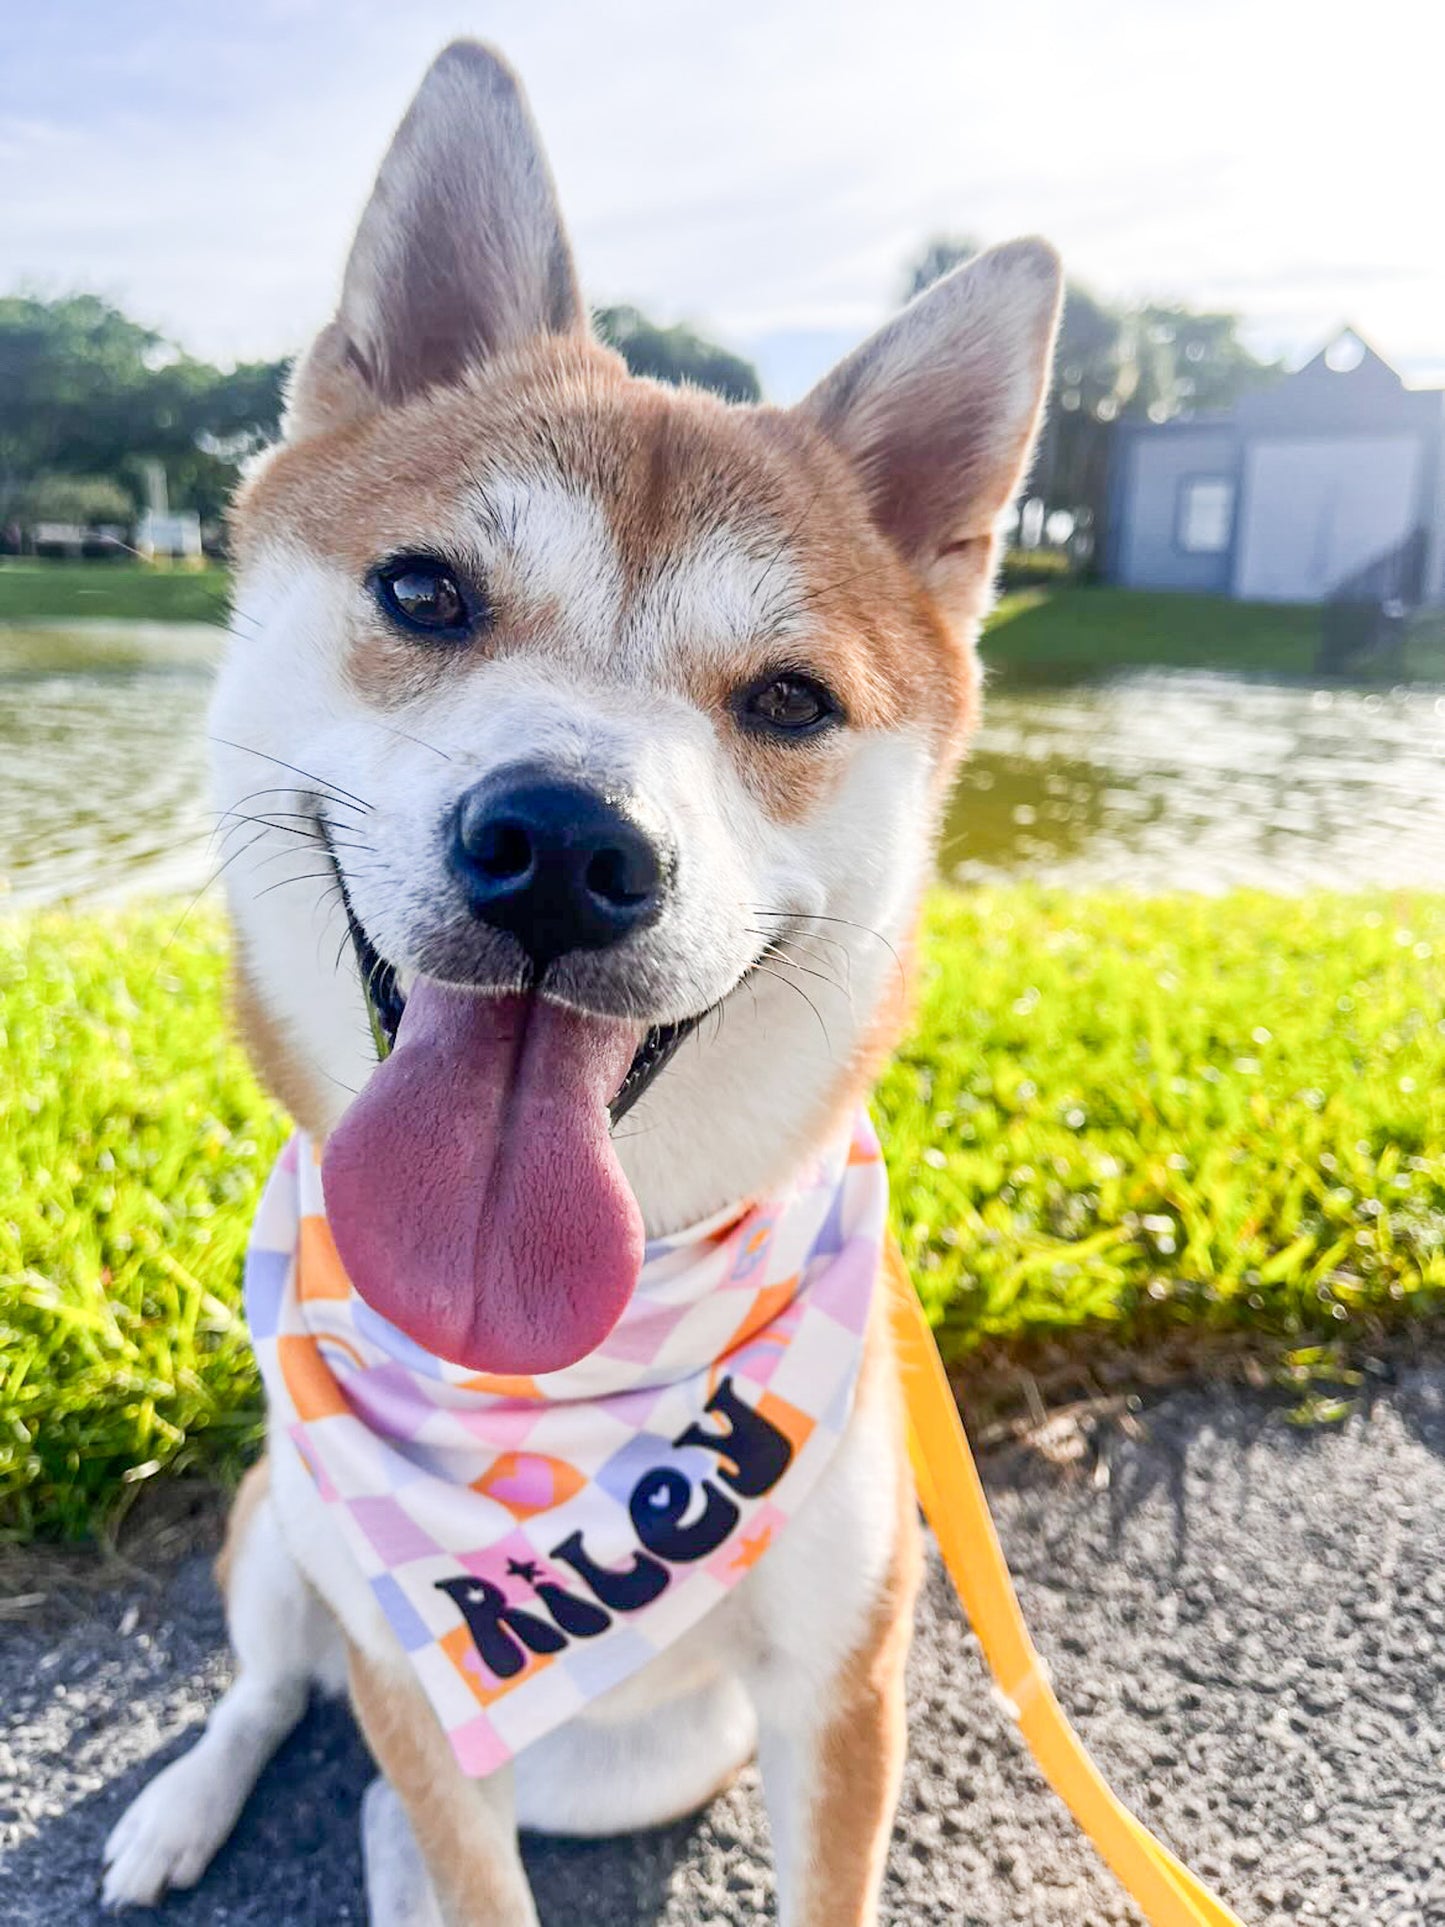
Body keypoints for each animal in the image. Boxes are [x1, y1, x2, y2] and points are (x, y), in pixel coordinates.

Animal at [104, 37, 1063, 1919]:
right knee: (265, 1692)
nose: (562, 843)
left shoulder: (843, 1679)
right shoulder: (409, 1675)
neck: (555, 1370)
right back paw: (179, 1810)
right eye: (424, 590)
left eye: (788, 701)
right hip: (278, 1530)